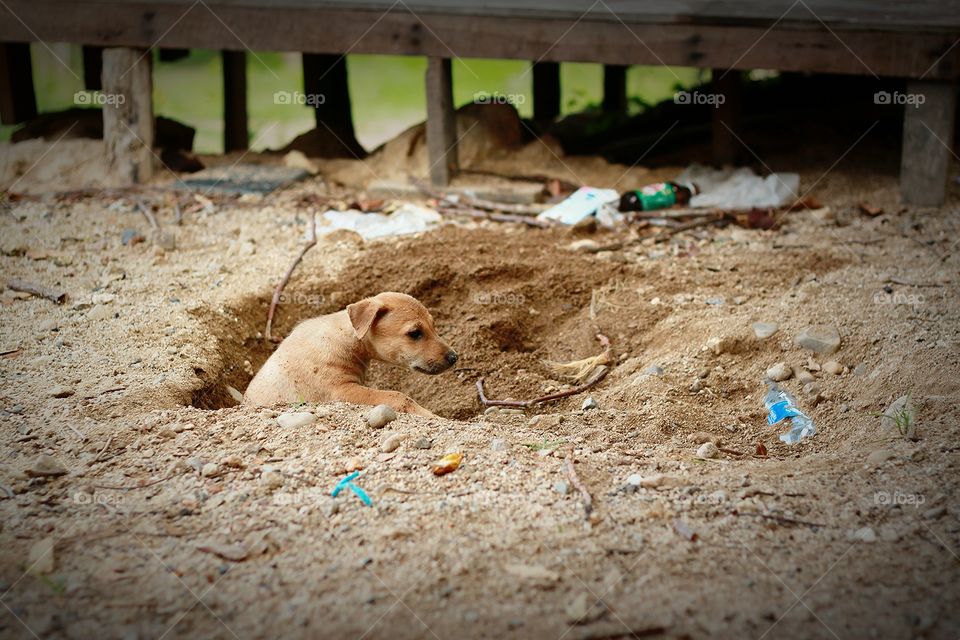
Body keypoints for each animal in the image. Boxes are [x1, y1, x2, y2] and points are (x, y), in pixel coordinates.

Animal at [246, 292, 460, 420]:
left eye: (434, 326)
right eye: (415, 333)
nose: (454, 357)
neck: (345, 336)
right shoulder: (341, 391)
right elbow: (397, 396)